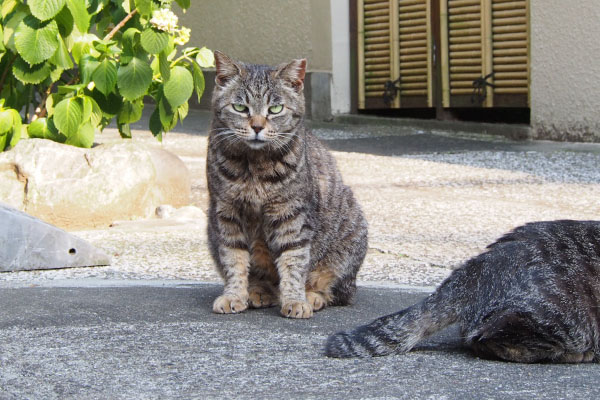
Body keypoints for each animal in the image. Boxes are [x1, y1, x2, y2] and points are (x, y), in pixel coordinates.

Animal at [206, 51, 368, 318]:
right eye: (240, 107)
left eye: (275, 108)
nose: (257, 126)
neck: (254, 168)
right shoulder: (227, 213)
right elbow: (233, 259)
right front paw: (234, 295)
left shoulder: (291, 214)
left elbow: (294, 260)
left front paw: (295, 300)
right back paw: (259, 292)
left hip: (349, 240)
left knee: (336, 290)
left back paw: (311, 296)